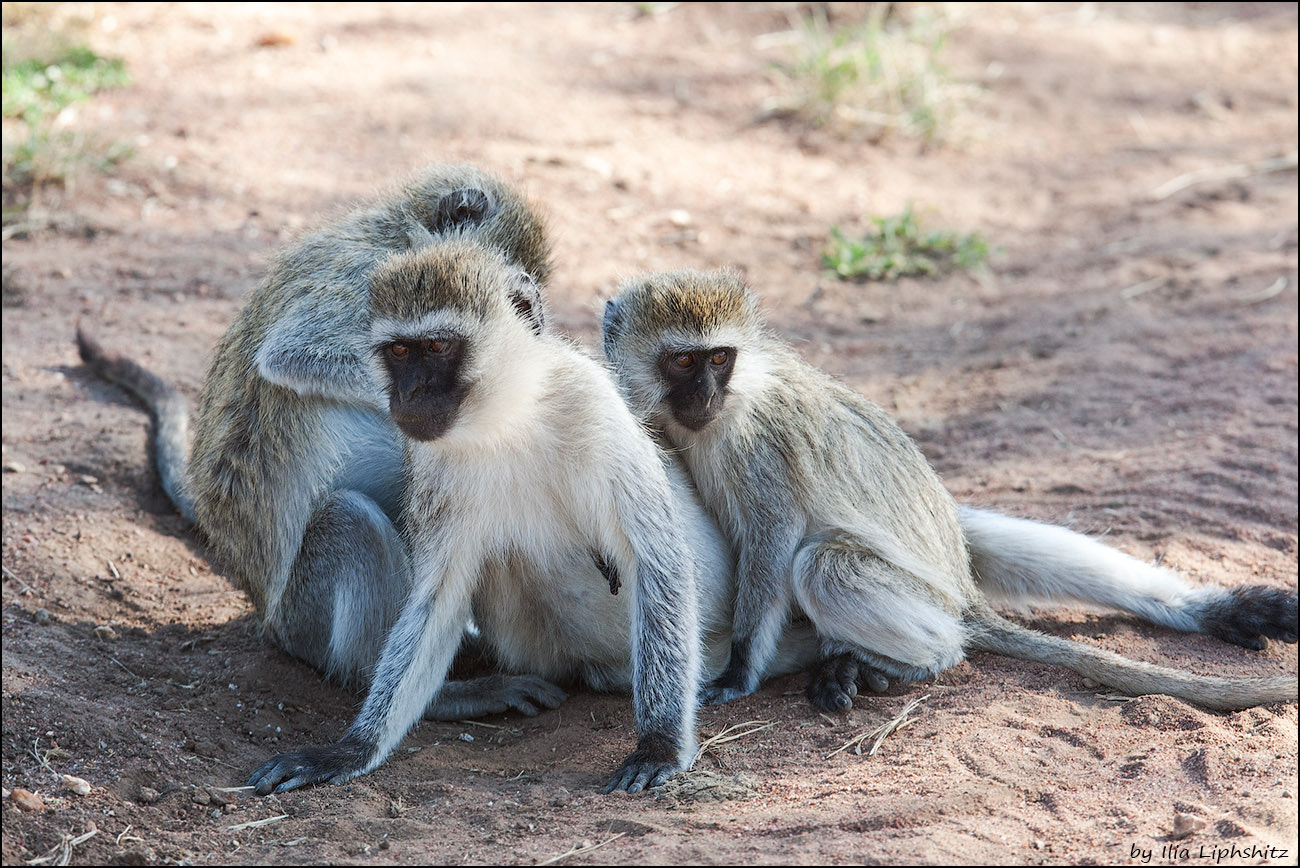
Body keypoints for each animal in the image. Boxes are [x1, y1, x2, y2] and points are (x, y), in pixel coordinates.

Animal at [76, 162, 564, 717]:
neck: (398, 233)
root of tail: (265, 614)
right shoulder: (363, 282)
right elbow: (291, 354)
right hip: (303, 617)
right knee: (351, 522)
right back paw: (432, 694)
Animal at [248, 239, 722, 795]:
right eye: (399, 351)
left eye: (437, 347)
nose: (406, 395)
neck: (508, 418)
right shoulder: (432, 460)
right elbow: (439, 596)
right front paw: (352, 749)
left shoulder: (593, 406)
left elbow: (656, 561)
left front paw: (660, 746)